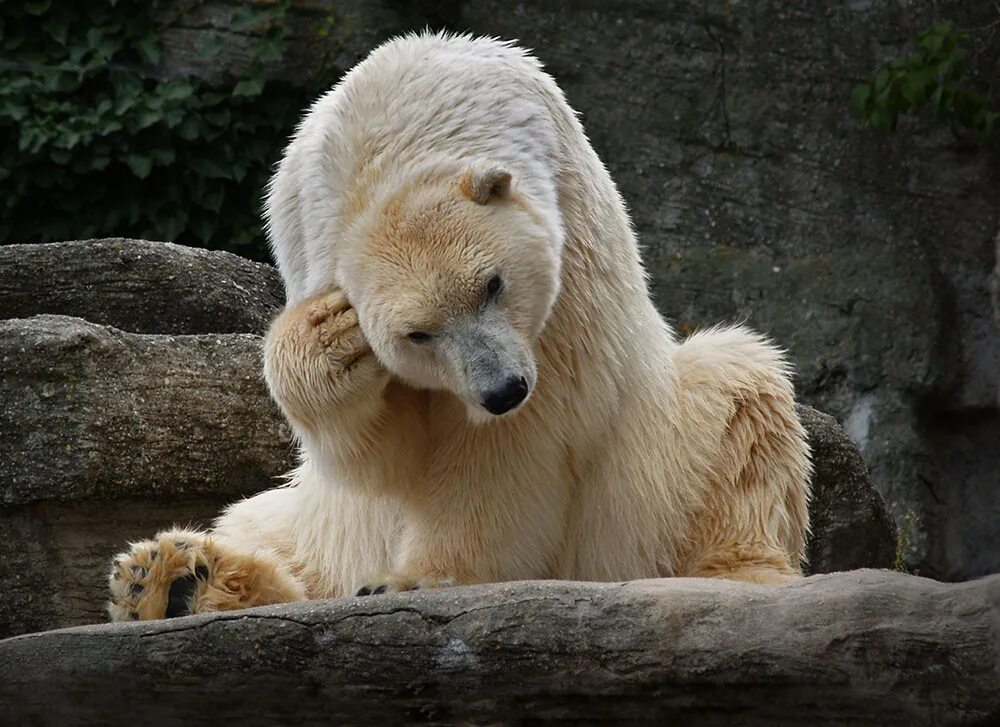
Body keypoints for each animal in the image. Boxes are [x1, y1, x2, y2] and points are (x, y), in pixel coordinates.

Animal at [109, 29, 812, 620]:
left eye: (492, 285)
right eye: (418, 334)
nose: (503, 390)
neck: (393, 121)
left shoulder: (561, 280)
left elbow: (506, 446)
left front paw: (417, 578)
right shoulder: (308, 236)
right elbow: (387, 451)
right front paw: (331, 341)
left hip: (646, 472)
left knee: (737, 395)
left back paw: (738, 571)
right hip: (325, 521)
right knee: (268, 524)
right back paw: (172, 578)